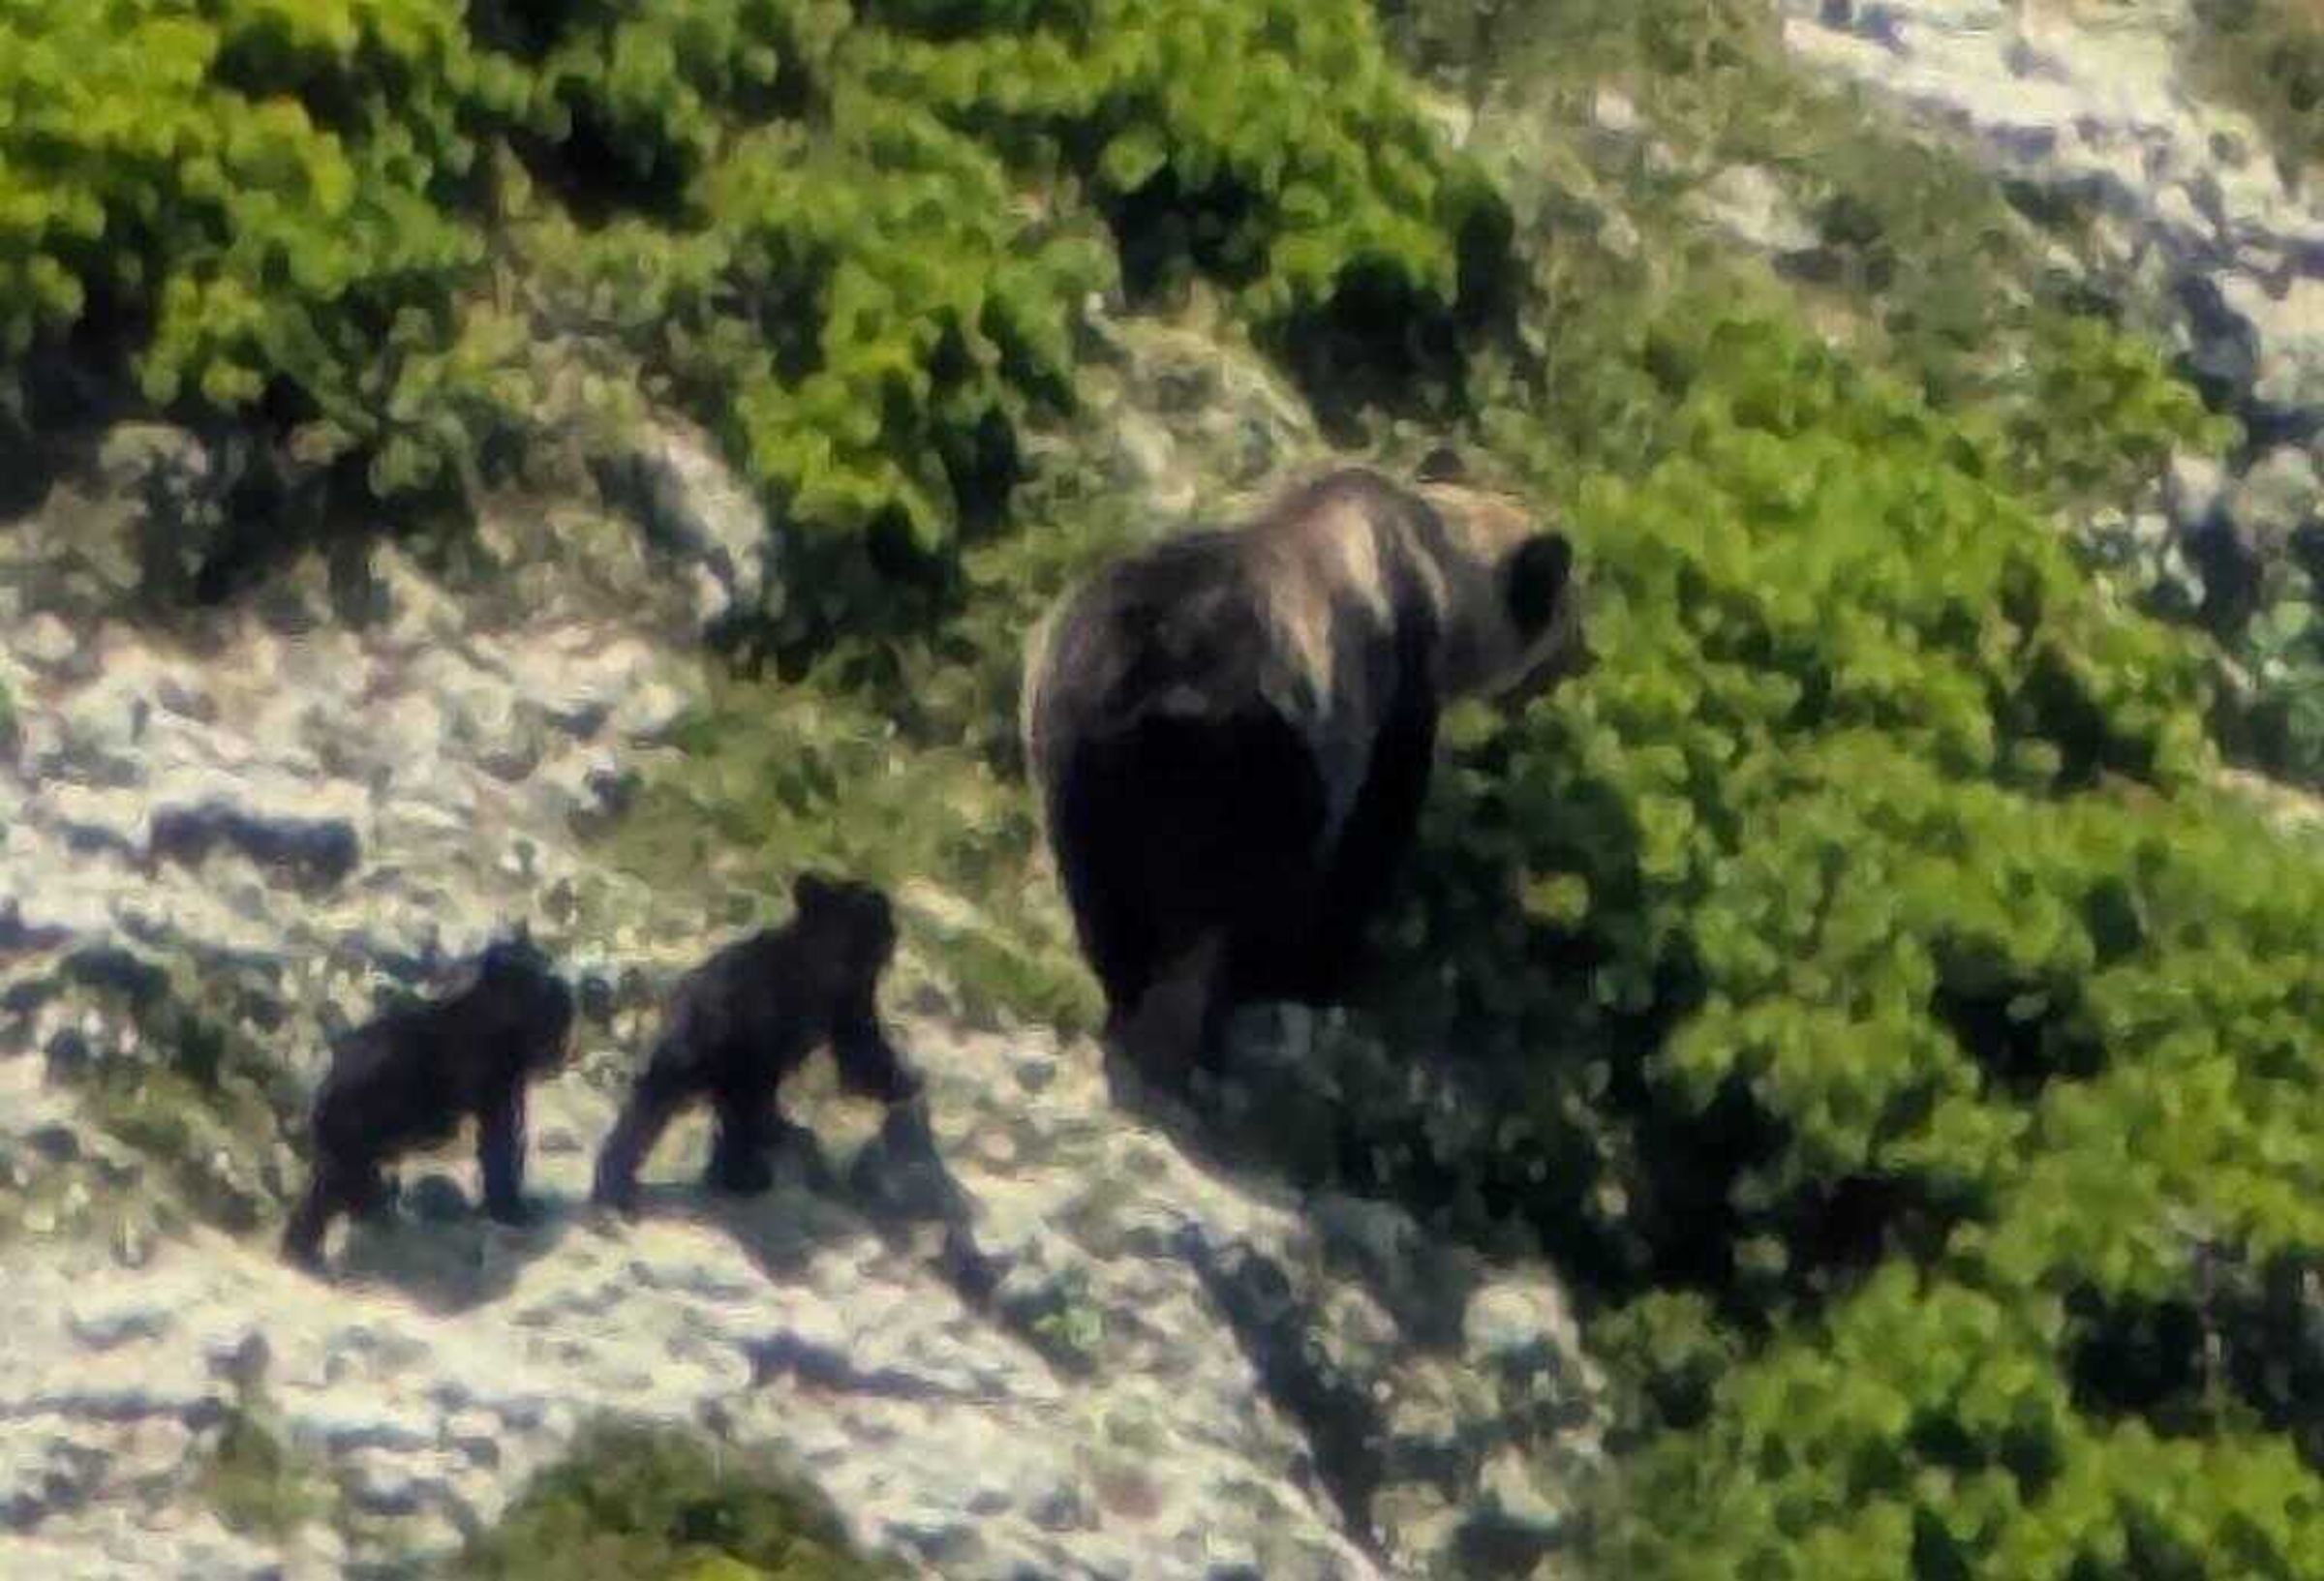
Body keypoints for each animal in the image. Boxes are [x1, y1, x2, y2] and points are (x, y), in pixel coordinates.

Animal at [281, 933, 576, 1270]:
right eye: (557, 1019)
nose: (560, 1057)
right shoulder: (492, 1078)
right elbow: (500, 1145)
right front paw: (515, 1211)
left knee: (339, 1182)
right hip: (351, 1129)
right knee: (341, 1182)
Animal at [590, 873, 922, 1214]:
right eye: (881, 915)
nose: (894, 933)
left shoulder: (848, 997)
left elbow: (861, 1048)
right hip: (712, 1053)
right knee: (691, 1106)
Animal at [1018, 449, 1587, 1094]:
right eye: (1572, 612)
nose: (1582, 660)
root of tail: (1145, 670)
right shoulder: (1387, 680)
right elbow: (1374, 829)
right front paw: (1329, 970)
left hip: (1072, 734)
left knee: (1103, 891)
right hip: (1254, 746)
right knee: (1250, 887)